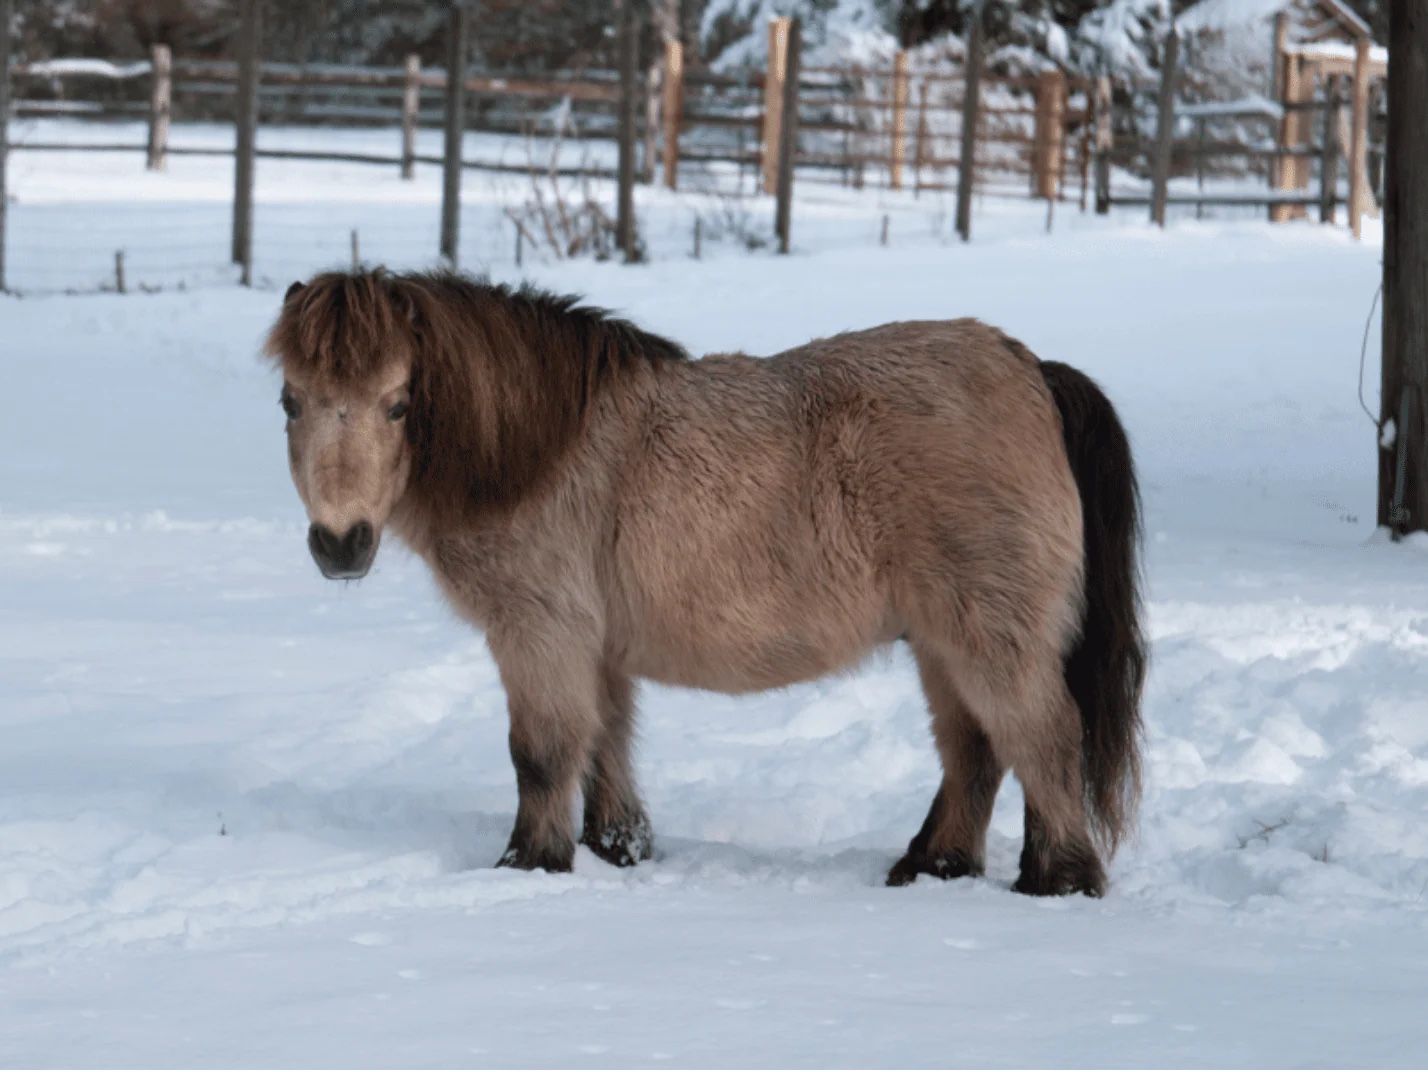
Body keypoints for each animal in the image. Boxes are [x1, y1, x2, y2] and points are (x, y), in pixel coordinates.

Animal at [265, 268, 1145, 897]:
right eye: (290, 400)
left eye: (398, 404)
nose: (340, 544)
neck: (537, 453)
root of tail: (1031, 371)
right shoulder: (597, 645)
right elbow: (606, 743)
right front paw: (618, 850)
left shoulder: (539, 632)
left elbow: (542, 753)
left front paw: (529, 864)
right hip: (941, 639)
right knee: (975, 751)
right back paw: (933, 869)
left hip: (989, 635)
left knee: (1043, 739)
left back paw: (1057, 881)